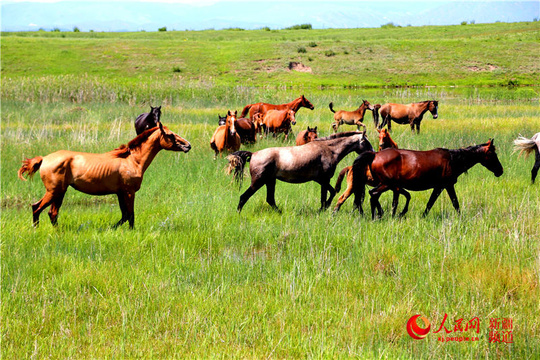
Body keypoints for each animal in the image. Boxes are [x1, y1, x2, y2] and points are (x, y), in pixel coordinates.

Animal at [16, 121, 191, 228]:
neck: (132, 160)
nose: (187, 145)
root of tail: (44, 158)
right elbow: (130, 215)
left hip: (60, 192)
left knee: (52, 213)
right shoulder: (129, 192)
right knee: (37, 208)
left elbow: (125, 215)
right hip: (54, 191)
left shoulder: (120, 193)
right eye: (170, 135)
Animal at [226, 131, 374, 211]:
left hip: (270, 181)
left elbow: (327, 194)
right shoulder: (324, 179)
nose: (373, 152)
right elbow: (330, 193)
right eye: (366, 142)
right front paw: (324, 208)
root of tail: (253, 154)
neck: (330, 150)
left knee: (270, 200)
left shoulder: (320, 180)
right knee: (244, 197)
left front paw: (323, 208)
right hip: (258, 182)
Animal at [352, 140, 504, 219]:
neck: (453, 159)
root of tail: (375, 155)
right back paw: (378, 215)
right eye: (493, 154)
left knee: (373, 195)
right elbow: (451, 203)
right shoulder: (445, 186)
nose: (500, 170)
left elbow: (432, 203)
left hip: (387, 185)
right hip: (386, 184)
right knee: (373, 194)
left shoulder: (441, 187)